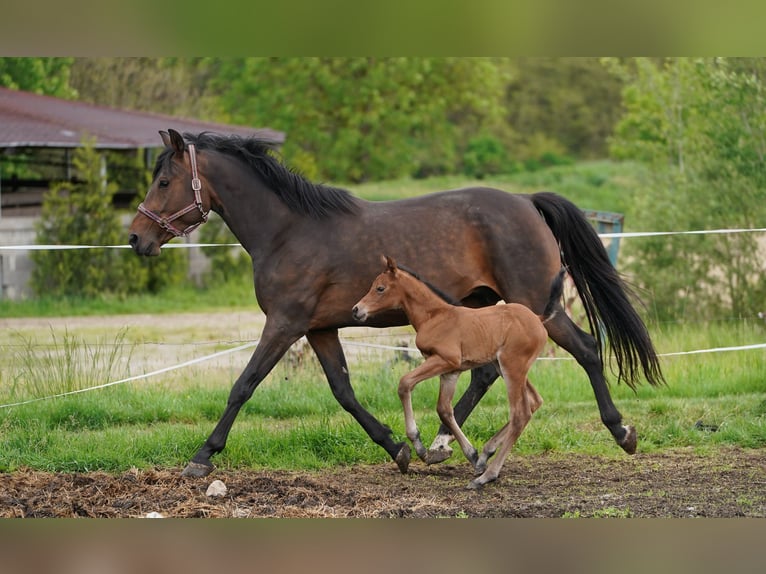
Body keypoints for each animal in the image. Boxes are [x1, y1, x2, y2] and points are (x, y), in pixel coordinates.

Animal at [354, 258, 564, 492]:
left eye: (380, 288)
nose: (356, 310)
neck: (434, 316)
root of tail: (538, 318)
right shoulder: (450, 373)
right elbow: (444, 410)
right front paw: (471, 455)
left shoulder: (445, 360)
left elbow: (405, 383)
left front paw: (418, 445)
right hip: (505, 367)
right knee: (535, 402)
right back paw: (485, 454)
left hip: (512, 366)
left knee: (521, 414)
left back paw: (486, 476)